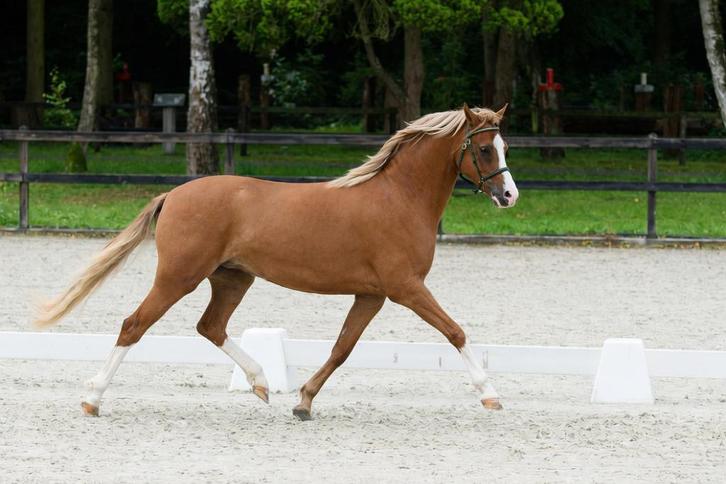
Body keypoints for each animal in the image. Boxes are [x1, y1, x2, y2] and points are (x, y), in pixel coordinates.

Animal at [35, 104, 519, 420]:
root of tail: (174, 194)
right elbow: (455, 332)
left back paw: (261, 382)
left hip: (232, 279)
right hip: (179, 277)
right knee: (134, 324)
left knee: (210, 326)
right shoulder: (406, 288)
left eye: (506, 147)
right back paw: (93, 399)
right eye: (485, 150)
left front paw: (303, 401)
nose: (509, 196)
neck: (398, 199)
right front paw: (490, 395)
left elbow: (342, 348)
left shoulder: (372, 295)